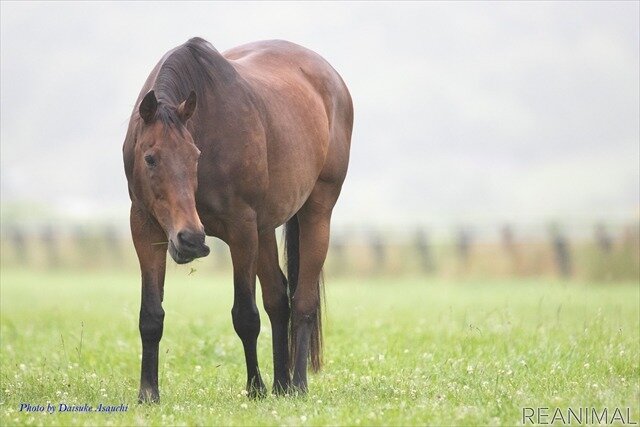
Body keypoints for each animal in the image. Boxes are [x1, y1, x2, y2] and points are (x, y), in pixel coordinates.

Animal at [124, 38, 356, 402]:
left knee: (303, 301)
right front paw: (148, 393)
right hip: (265, 229)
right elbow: (151, 315)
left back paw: (297, 384)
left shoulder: (241, 229)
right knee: (278, 299)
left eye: (195, 156)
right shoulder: (145, 228)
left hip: (316, 213)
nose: (190, 240)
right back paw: (281, 385)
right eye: (150, 158)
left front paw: (255, 387)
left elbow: (245, 315)